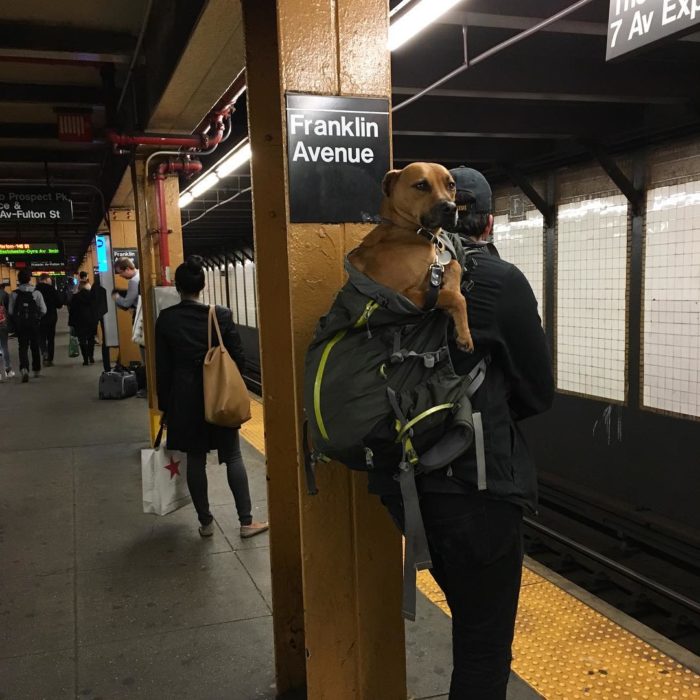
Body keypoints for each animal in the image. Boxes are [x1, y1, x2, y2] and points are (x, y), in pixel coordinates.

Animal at [348, 162, 474, 352]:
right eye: (421, 185)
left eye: (451, 185)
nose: (451, 208)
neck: (411, 232)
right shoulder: (405, 296)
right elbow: (456, 297)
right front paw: (465, 335)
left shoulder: (437, 265)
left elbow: (454, 265)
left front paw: (453, 287)